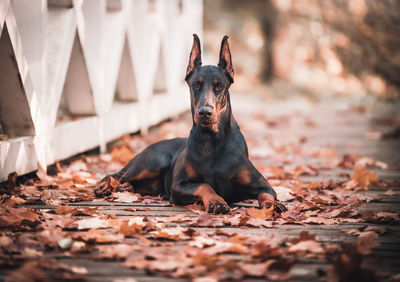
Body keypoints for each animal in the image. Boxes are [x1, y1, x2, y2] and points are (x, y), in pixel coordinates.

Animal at [94, 33, 286, 214]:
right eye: (196, 85)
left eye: (219, 86)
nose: (205, 113)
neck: (213, 140)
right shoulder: (178, 186)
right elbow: (204, 185)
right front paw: (216, 201)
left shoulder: (263, 184)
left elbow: (267, 194)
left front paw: (273, 205)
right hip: (153, 162)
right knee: (115, 175)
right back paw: (105, 187)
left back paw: (123, 188)